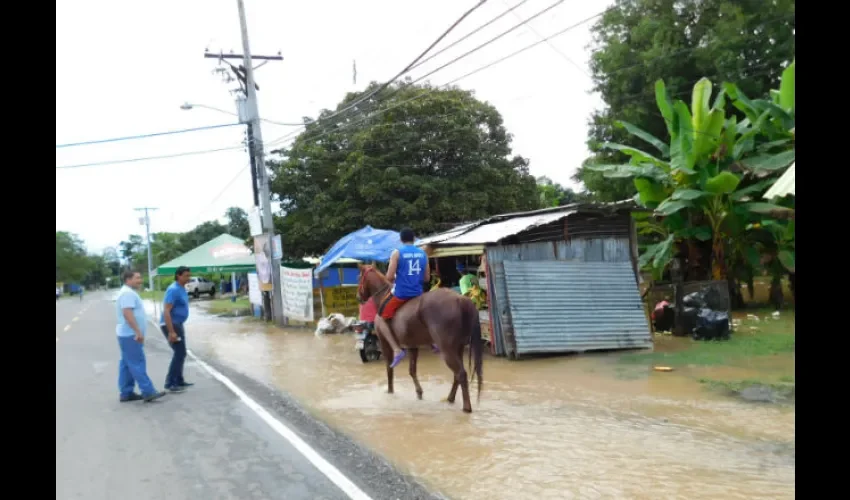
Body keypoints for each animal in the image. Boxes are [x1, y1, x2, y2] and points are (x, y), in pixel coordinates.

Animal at [354, 264, 480, 412]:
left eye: (359, 277)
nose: (358, 297)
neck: (382, 297)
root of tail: (460, 299)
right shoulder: (412, 345)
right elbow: (412, 370)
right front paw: (419, 393)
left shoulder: (384, 343)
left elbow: (389, 369)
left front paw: (390, 392)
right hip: (458, 347)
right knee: (457, 374)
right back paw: (450, 399)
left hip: (447, 350)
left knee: (461, 373)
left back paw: (466, 407)